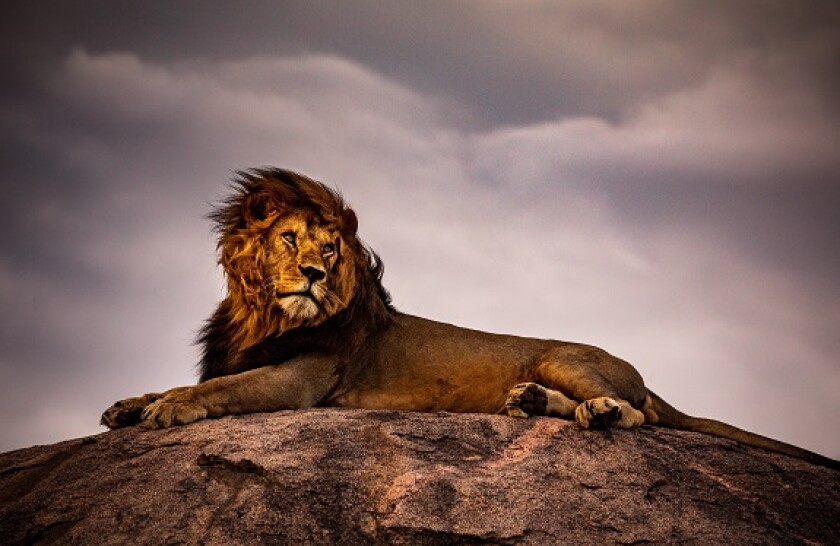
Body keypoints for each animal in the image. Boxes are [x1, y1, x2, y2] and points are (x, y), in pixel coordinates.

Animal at [101, 168, 837, 469]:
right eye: (289, 239)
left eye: (331, 247)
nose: (314, 274)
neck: (263, 316)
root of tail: (642, 374)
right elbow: (187, 378)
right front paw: (127, 404)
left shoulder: (304, 379)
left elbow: (222, 387)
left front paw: (169, 407)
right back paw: (533, 403)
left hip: (566, 355)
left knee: (638, 414)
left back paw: (599, 412)